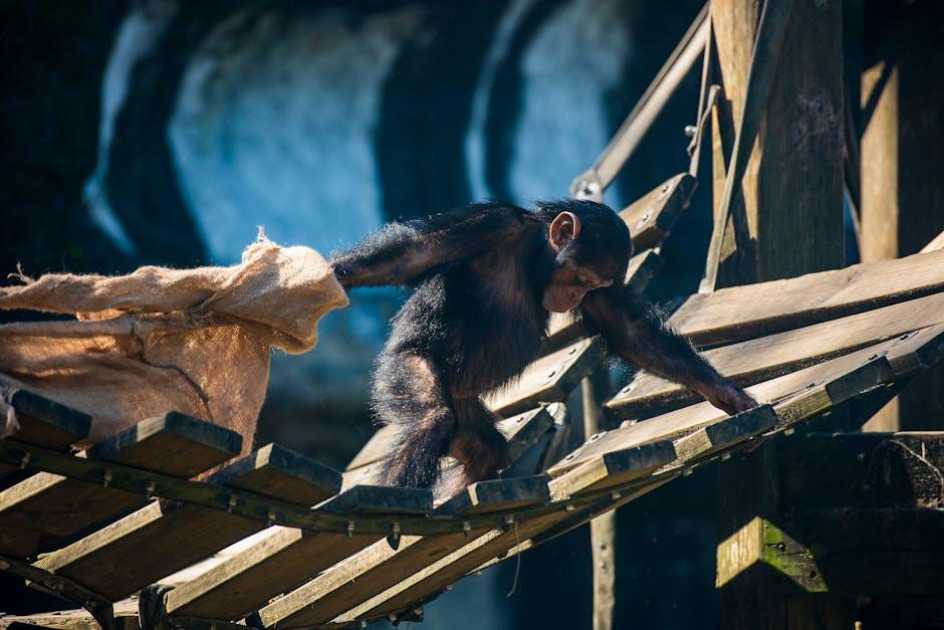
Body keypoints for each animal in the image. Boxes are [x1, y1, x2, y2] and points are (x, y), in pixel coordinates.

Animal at [328, 202, 756, 494]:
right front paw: (330, 278)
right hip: (404, 365)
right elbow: (413, 254)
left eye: (593, 286)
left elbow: (628, 332)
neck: (535, 257)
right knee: (430, 418)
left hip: (467, 412)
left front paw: (727, 393)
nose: (576, 295)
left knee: (485, 450)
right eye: (581, 277)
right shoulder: (493, 222)